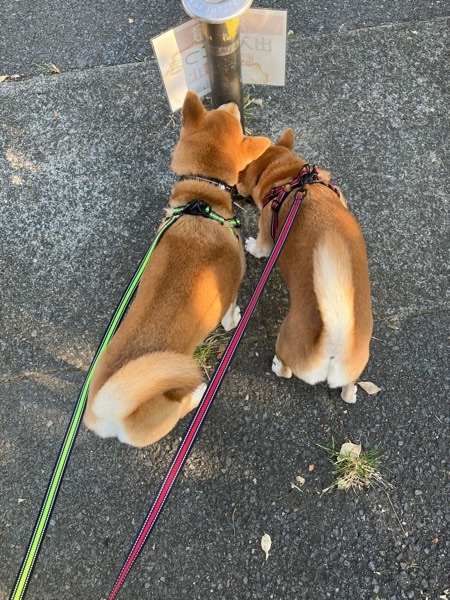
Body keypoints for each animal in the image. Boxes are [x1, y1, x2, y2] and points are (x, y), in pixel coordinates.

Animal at [83, 91, 271, 446]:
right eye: (235, 119)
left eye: (221, 110)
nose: (232, 103)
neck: (201, 201)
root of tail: (107, 415)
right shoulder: (231, 288)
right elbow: (230, 314)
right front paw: (234, 319)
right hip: (169, 407)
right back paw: (196, 395)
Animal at [237, 128, 373, 403]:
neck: (290, 178)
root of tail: (334, 342)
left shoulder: (266, 232)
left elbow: (259, 248)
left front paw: (250, 245)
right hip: (355, 369)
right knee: (348, 389)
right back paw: (351, 393)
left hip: (285, 341)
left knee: (287, 369)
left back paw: (277, 366)